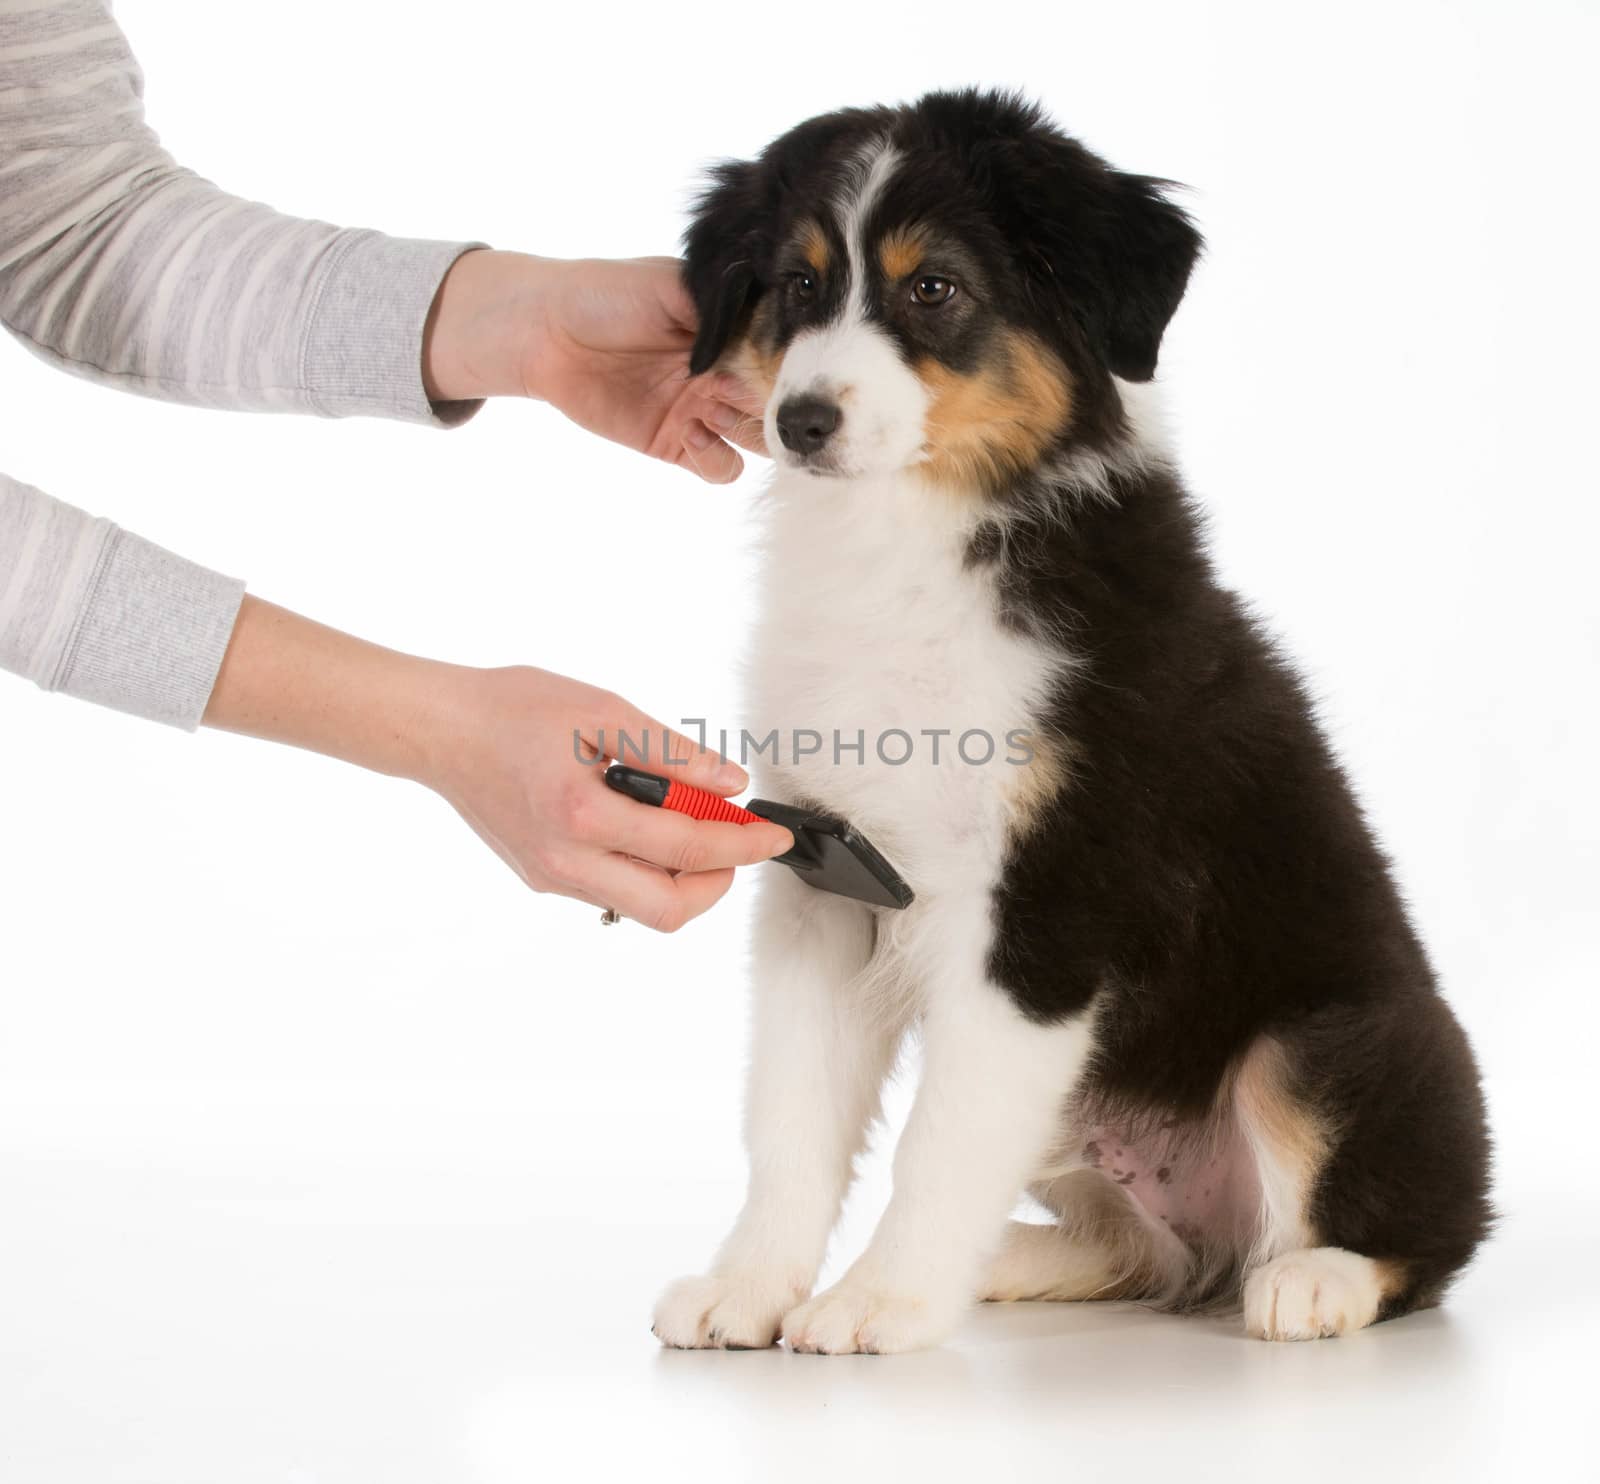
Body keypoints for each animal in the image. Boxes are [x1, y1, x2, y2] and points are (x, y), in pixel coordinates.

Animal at [646, 87, 1484, 1349]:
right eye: (796, 284)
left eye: (933, 288)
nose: (801, 419)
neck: (912, 541)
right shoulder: (824, 872)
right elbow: (792, 1111)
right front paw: (750, 1283)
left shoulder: (1054, 893)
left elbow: (939, 1137)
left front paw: (877, 1300)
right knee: (1152, 1250)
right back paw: (1014, 1261)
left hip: (1330, 1038)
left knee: (1412, 1233)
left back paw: (1316, 1279)